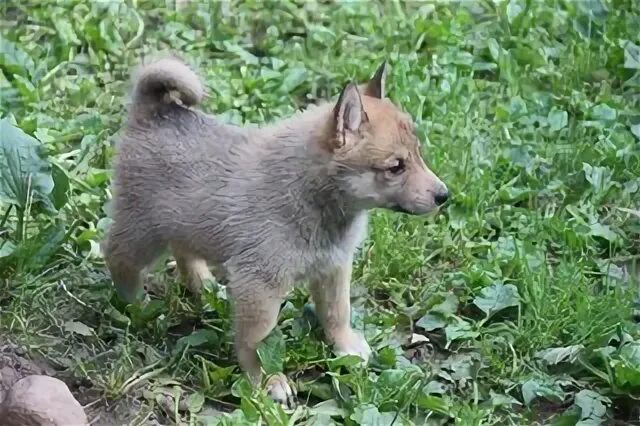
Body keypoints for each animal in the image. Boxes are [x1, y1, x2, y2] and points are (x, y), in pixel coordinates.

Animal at [102, 55, 448, 402]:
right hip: (144, 232)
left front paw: (345, 344)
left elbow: (337, 312)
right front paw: (267, 380)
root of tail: (154, 111)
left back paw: (201, 282)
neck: (313, 196)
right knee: (117, 256)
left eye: (418, 154)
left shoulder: (334, 268)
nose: (444, 195)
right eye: (396, 167)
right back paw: (134, 304)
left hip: (183, 223)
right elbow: (257, 341)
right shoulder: (260, 285)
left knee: (183, 250)